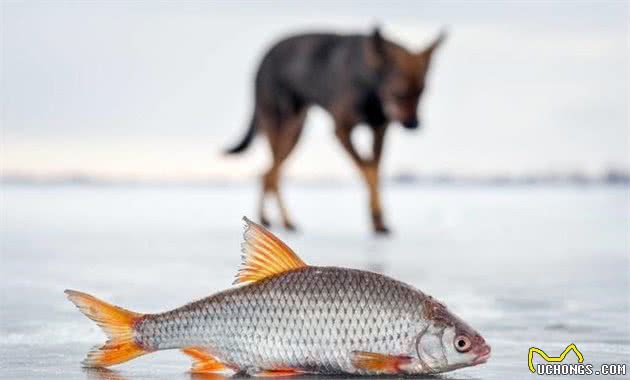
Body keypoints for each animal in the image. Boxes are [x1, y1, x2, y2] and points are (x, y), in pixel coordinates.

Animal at [225, 26, 446, 233]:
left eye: (422, 92)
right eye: (398, 92)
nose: (414, 125)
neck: (370, 87)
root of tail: (264, 57)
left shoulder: (379, 131)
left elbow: (374, 171)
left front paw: (378, 220)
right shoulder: (342, 130)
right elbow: (366, 170)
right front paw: (376, 216)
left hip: (296, 131)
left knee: (269, 173)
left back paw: (273, 220)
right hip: (283, 124)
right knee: (272, 173)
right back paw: (280, 220)